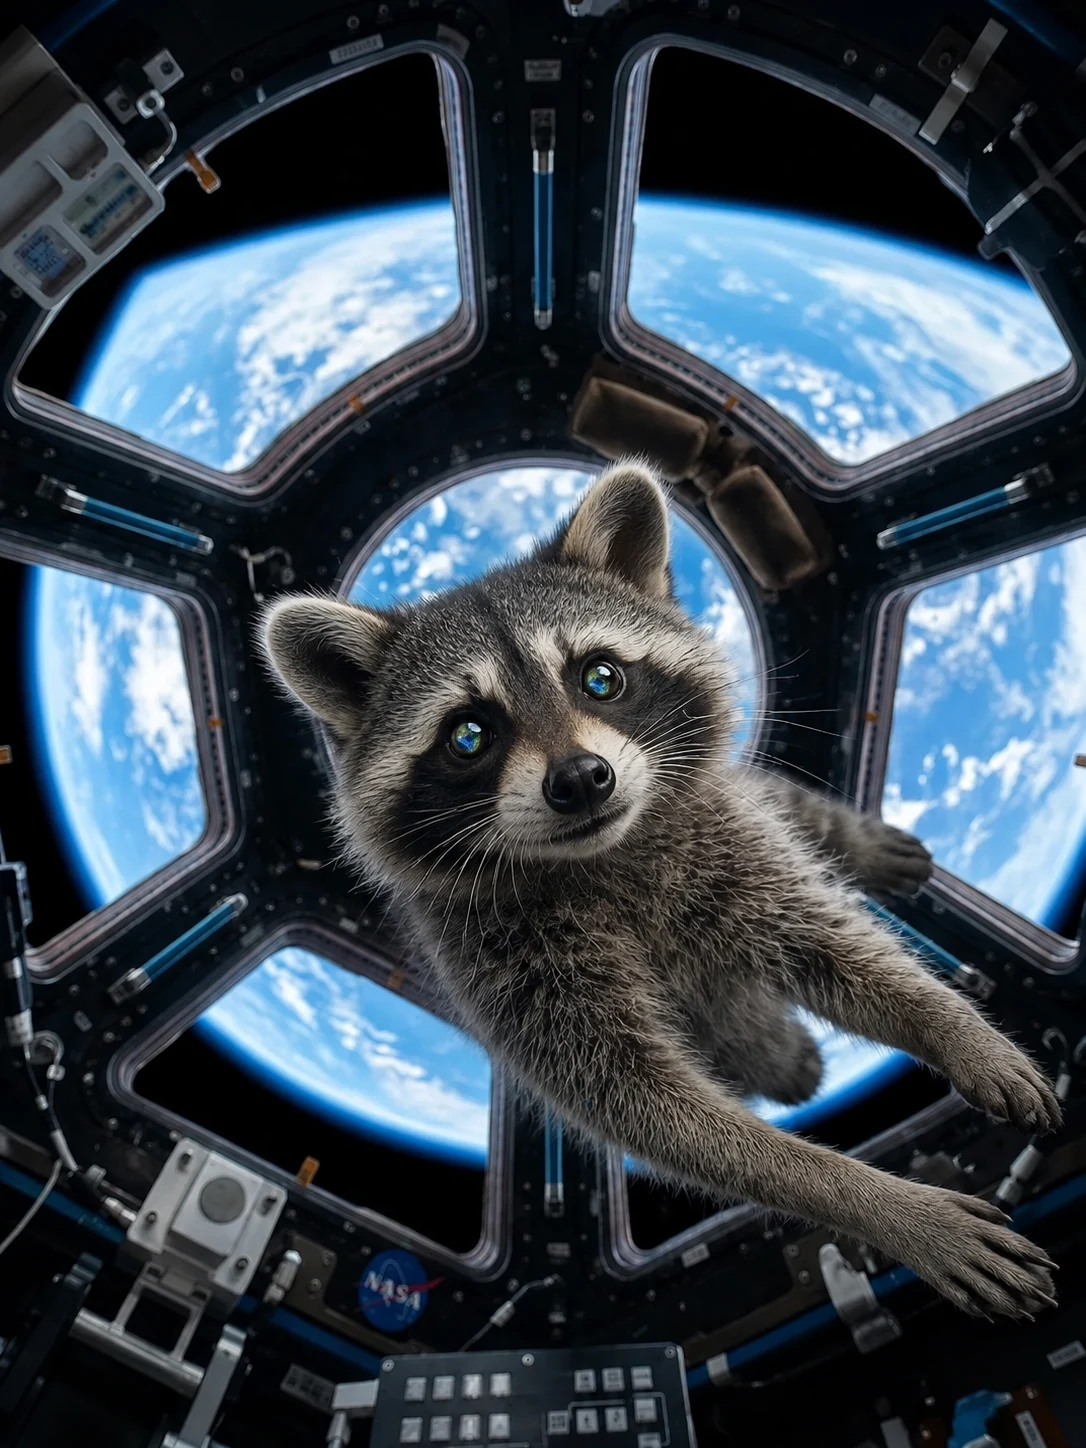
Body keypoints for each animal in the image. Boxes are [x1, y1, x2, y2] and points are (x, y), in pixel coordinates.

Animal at [262, 462, 1061, 1319]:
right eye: (469, 734)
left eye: (600, 676)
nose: (580, 780)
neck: (596, 858)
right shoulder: (500, 963)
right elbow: (656, 1110)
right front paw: (879, 1202)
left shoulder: (723, 841)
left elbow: (835, 944)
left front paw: (954, 1027)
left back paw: (856, 843)